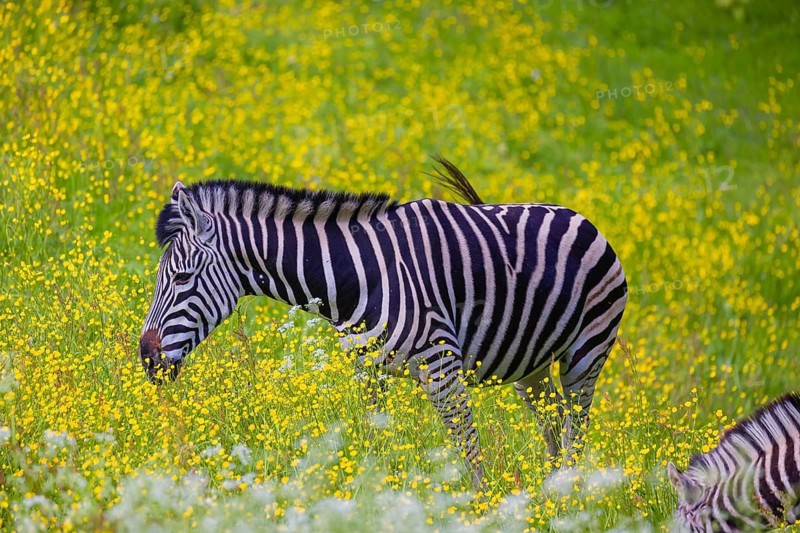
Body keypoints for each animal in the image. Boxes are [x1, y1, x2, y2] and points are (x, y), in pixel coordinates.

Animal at [139, 157, 628, 487]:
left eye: (181, 278)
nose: (146, 358)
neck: (357, 277)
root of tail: (581, 217)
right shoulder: (366, 368)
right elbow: (373, 439)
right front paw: (375, 495)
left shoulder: (440, 366)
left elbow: (466, 443)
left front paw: (480, 505)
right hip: (533, 364)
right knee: (554, 423)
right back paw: (551, 496)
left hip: (586, 353)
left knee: (576, 428)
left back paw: (569, 499)